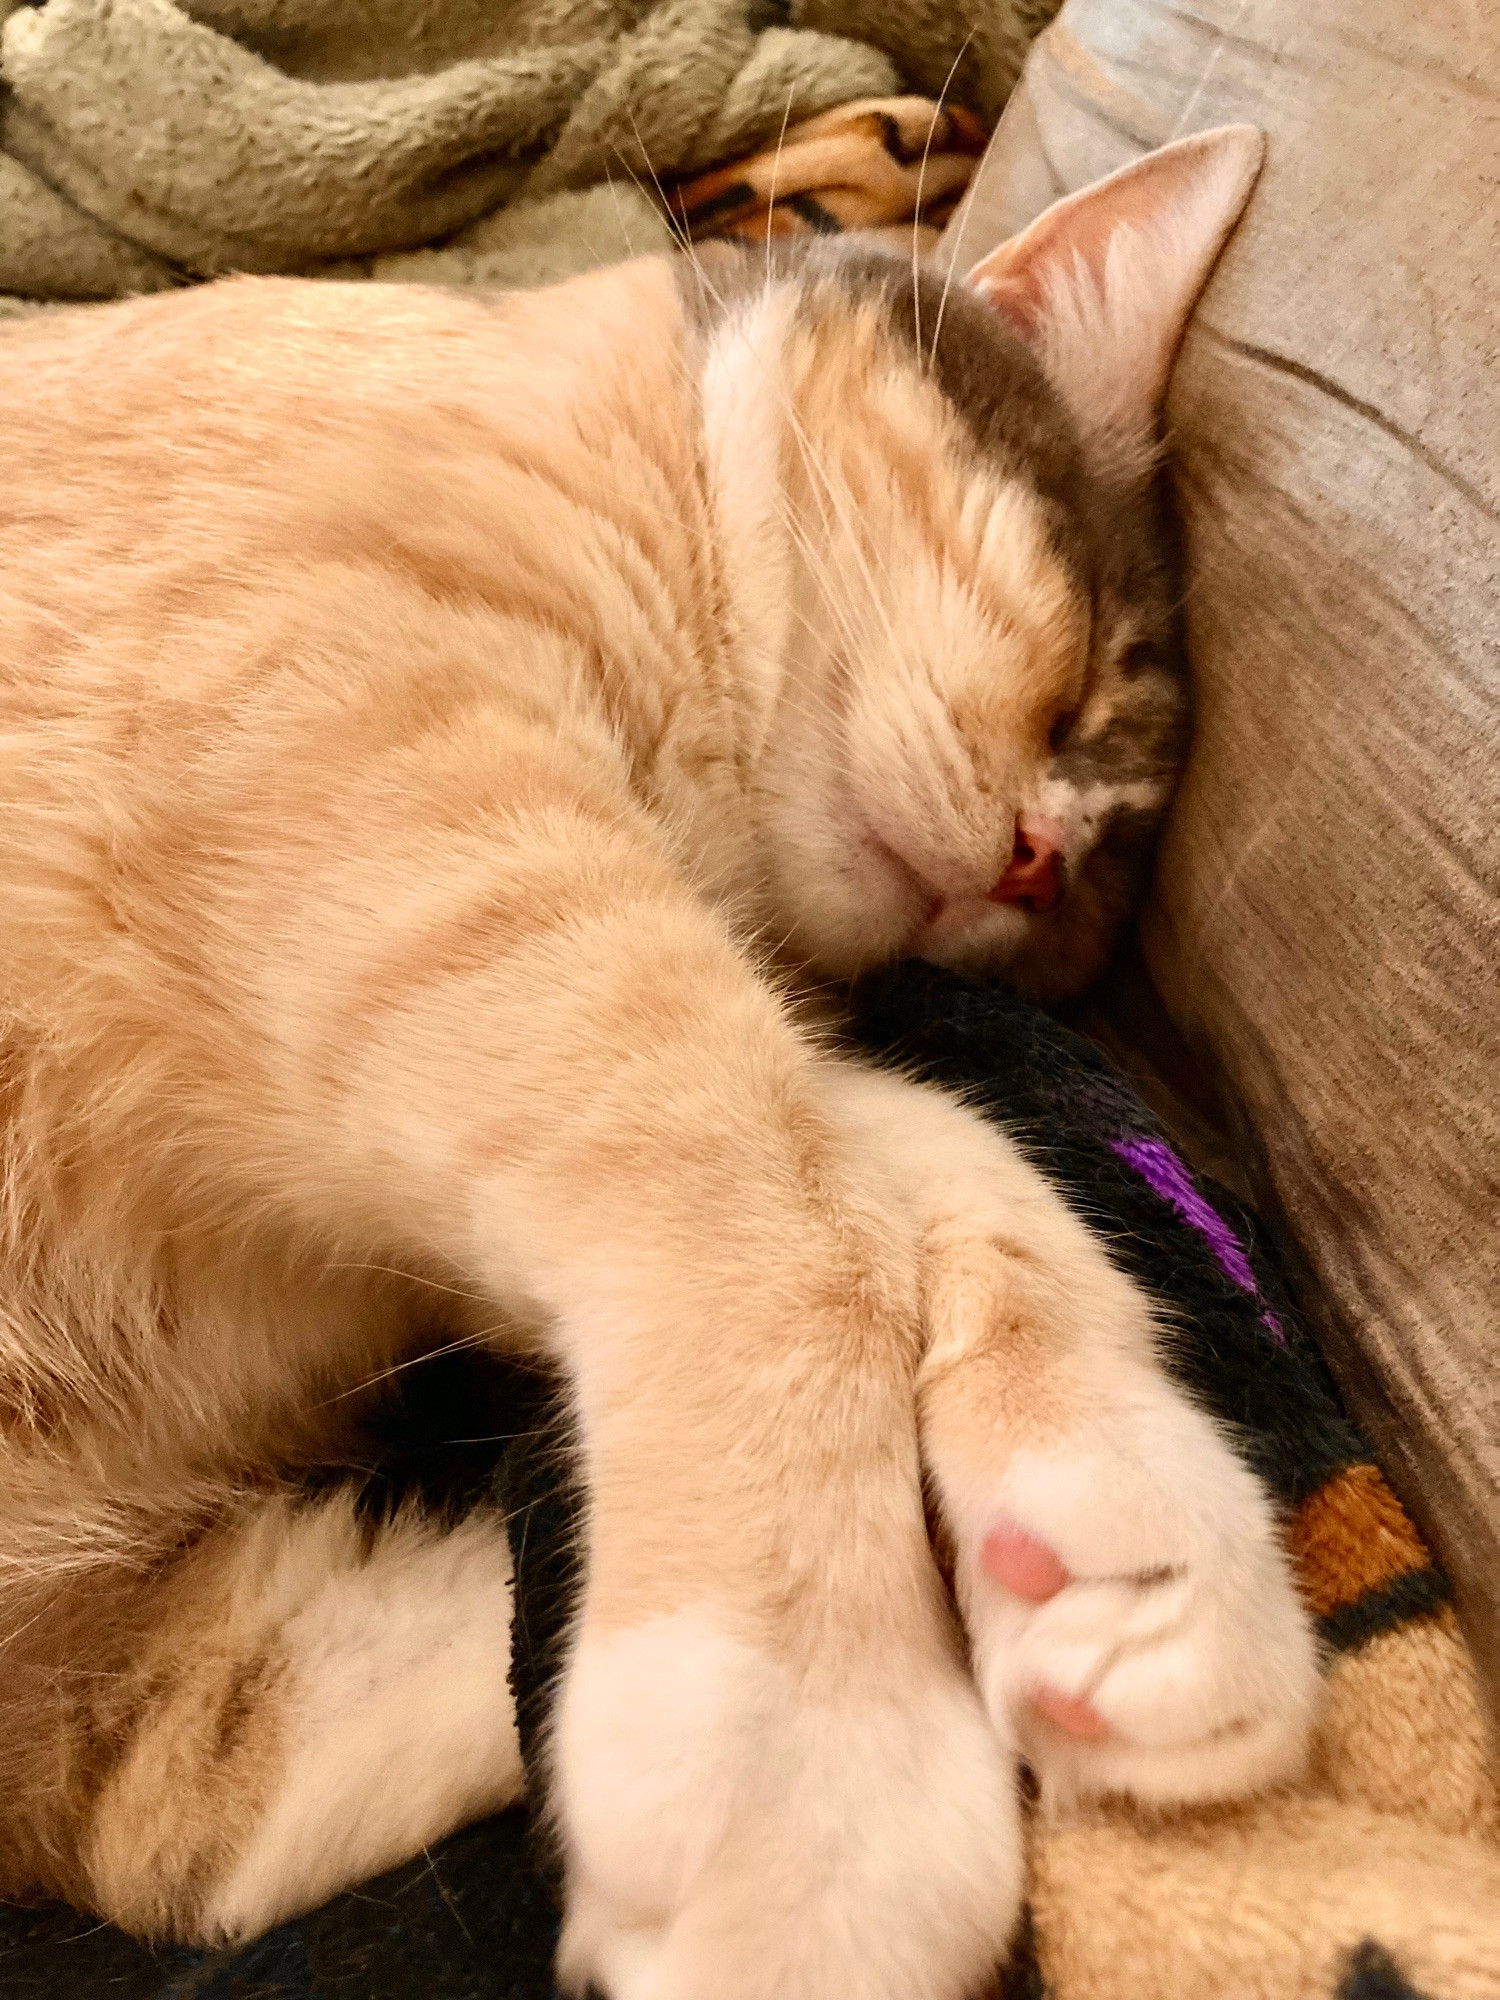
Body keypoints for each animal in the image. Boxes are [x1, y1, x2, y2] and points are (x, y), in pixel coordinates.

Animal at [0, 129, 1312, 2000]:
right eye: (1089, 681)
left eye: (1092, 900)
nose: (1038, 865)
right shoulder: (378, 763)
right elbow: (795, 1228)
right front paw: (808, 1780)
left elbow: (963, 1176)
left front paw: (1125, 1542)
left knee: (166, 1784)